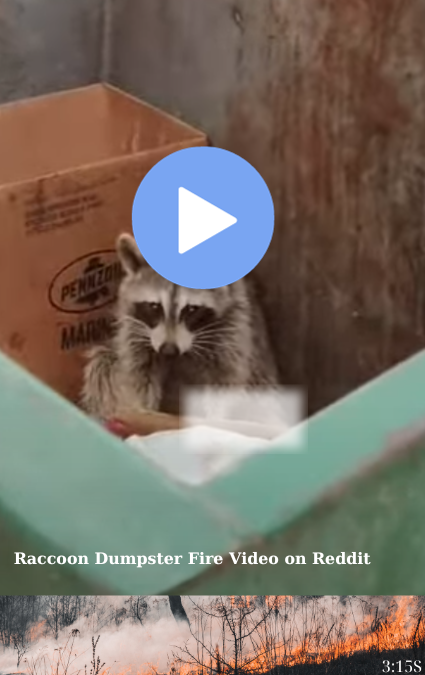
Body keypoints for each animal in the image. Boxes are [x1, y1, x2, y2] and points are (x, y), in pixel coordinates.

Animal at [81, 234, 279, 420]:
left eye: (191, 309)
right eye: (155, 306)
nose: (168, 350)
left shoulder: (233, 330)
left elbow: (224, 382)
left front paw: (214, 419)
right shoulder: (134, 328)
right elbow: (139, 376)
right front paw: (144, 410)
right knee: (103, 365)